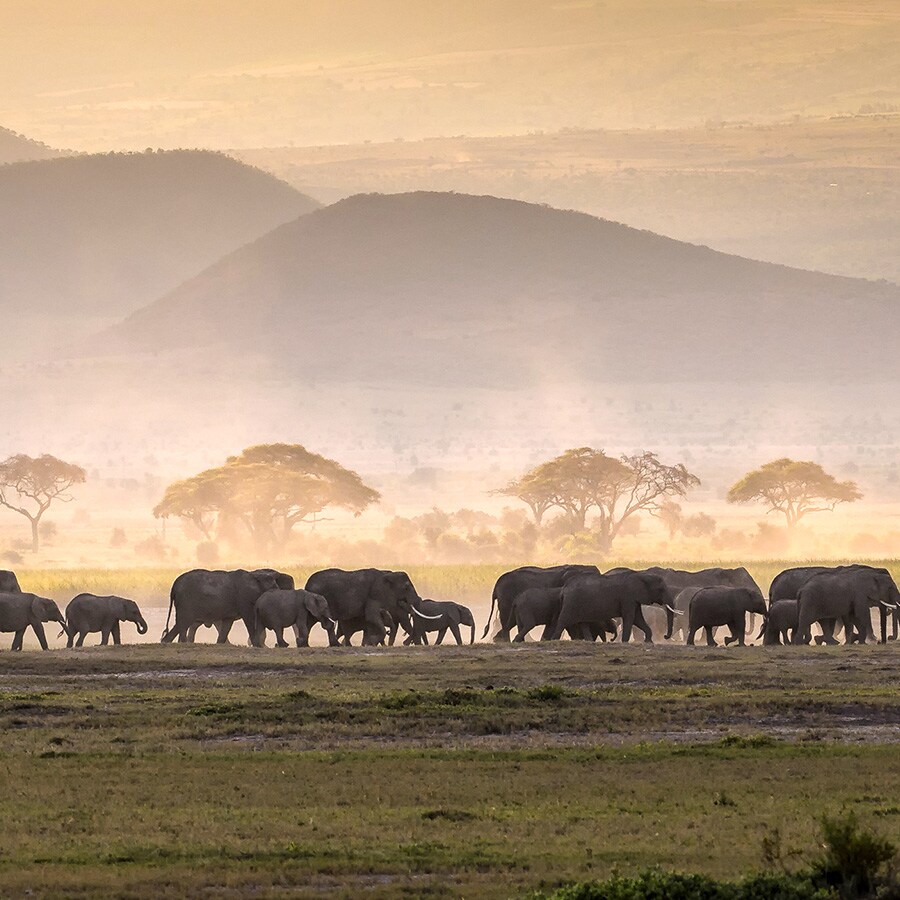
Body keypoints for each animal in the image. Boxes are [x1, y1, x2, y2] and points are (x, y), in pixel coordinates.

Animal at [160, 568, 288, 644]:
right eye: (273, 589)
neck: (255, 576)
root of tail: (174, 586)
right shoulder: (244, 598)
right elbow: (249, 619)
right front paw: (257, 645)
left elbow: (227, 624)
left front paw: (219, 644)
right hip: (186, 601)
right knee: (184, 622)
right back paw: (182, 643)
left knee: (180, 624)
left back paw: (167, 642)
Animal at [306, 568, 440, 648]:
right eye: (406, 587)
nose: (405, 642)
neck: (387, 574)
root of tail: (307, 585)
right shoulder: (374, 595)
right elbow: (372, 617)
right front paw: (373, 641)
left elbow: (370, 621)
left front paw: (369, 643)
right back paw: (336, 645)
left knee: (310, 621)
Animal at [548, 572, 676, 644]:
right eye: (661, 589)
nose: (665, 636)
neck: (641, 576)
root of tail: (564, 588)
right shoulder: (627, 598)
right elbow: (630, 618)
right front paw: (625, 642)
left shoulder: (633, 600)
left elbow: (638, 619)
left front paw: (648, 642)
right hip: (571, 603)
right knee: (563, 620)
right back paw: (554, 639)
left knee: (583, 623)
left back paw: (589, 641)